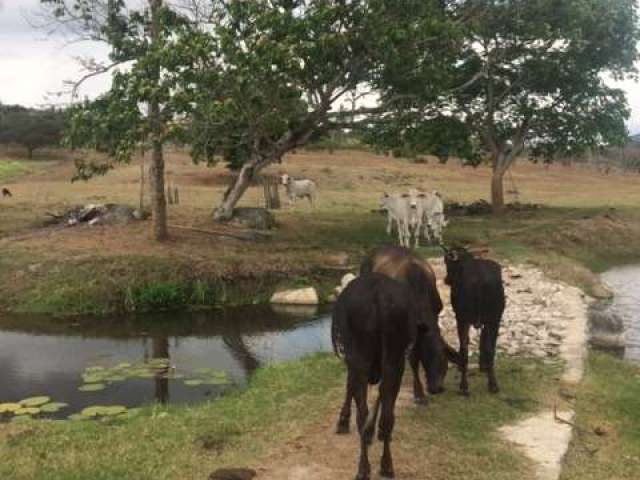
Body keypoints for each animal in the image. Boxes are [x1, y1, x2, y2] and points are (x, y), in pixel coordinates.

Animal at [332, 270, 448, 480]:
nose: (437, 387)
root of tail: (379, 294)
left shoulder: (351, 360)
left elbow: (349, 388)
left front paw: (343, 421)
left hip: (360, 359)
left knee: (362, 414)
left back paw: (364, 467)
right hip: (394, 360)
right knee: (387, 416)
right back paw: (386, 464)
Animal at [440, 246, 504, 396]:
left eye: (447, 261)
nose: (446, 280)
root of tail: (479, 279)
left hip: (463, 318)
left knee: (464, 348)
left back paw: (464, 385)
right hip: (494, 318)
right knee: (490, 348)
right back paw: (492, 384)